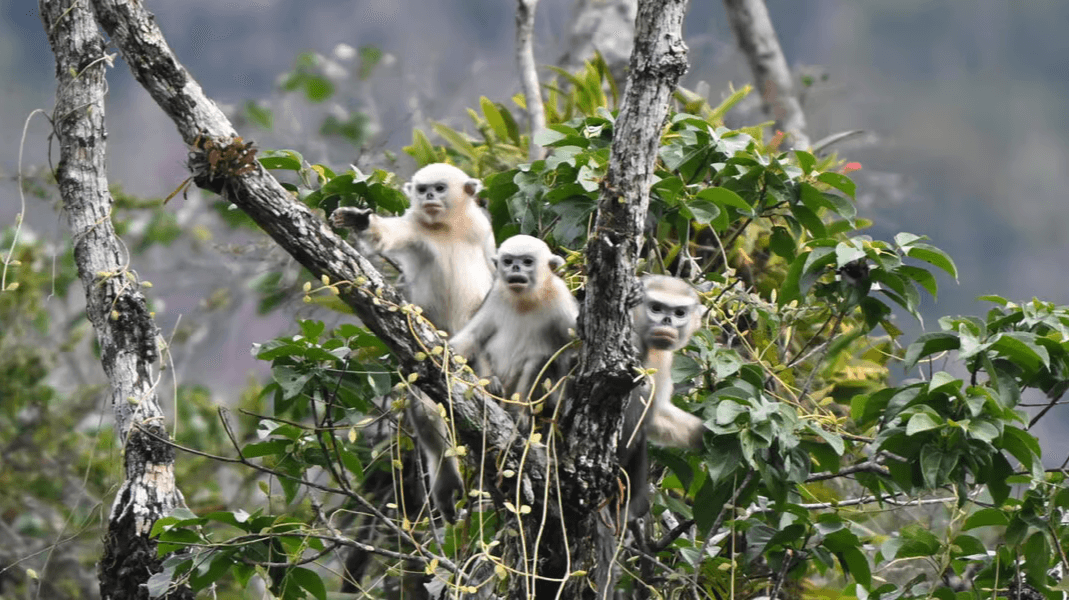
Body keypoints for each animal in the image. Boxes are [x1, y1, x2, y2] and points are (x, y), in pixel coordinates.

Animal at [330, 162, 496, 521]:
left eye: (439, 188)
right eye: (422, 190)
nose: (429, 196)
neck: (447, 227)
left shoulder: (482, 230)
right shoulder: (415, 229)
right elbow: (385, 234)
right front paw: (359, 220)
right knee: (427, 410)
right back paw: (447, 481)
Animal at [449, 235, 578, 425]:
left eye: (527, 262)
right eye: (508, 261)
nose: (515, 267)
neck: (524, 301)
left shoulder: (560, 296)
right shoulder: (496, 294)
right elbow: (471, 338)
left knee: (539, 359)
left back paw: (519, 411)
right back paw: (491, 386)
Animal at [618, 274, 705, 518]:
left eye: (679, 313)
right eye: (656, 308)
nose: (667, 320)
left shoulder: (664, 358)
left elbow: (656, 413)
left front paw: (707, 436)